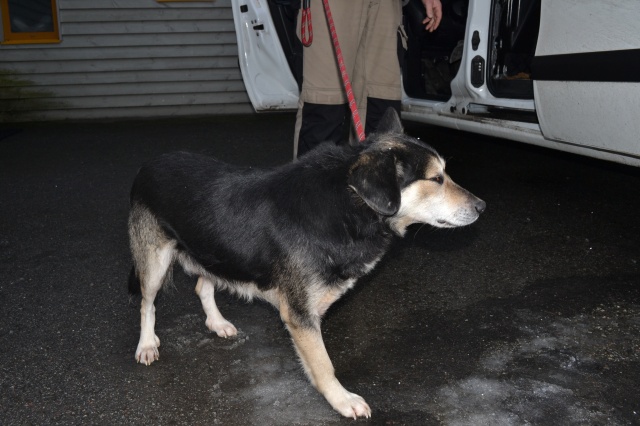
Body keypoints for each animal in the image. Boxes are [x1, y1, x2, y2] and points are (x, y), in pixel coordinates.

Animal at [127, 109, 485, 418]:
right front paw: (341, 400)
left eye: (444, 174)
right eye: (436, 179)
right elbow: (324, 364)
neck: (348, 204)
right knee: (147, 303)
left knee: (203, 284)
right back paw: (146, 344)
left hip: (213, 252)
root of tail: (147, 165)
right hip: (155, 261)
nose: (482, 206)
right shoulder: (299, 315)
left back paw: (217, 323)